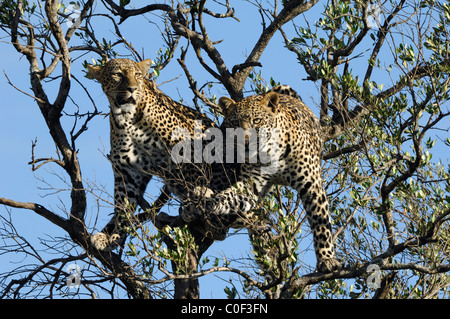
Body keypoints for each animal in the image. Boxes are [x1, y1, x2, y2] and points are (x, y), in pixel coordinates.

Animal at [85, 58, 239, 251]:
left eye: (137, 75)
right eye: (118, 74)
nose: (132, 89)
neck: (126, 118)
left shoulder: (187, 145)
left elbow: (196, 176)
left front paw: (198, 202)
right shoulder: (127, 170)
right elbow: (122, 204)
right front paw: (115, 235)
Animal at [185, 89, 342, 274]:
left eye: (257, 121)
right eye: (235, 122)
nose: (245, 141)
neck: (272, 152)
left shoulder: (311, 185)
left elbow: (321, 223)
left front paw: (327, 259)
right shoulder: (251, 185)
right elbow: (228, 196)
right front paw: (208, 203)